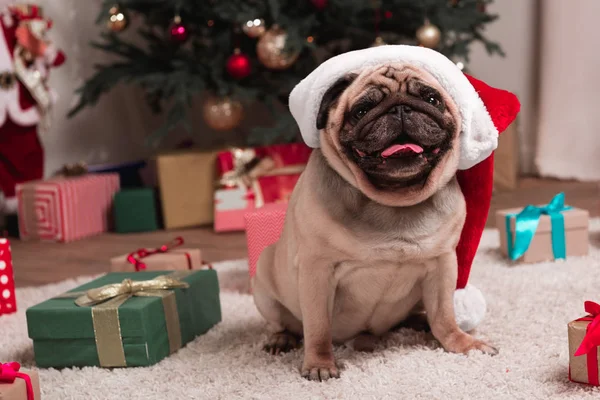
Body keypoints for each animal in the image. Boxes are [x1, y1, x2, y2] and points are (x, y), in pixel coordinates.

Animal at [252, 62, 496, 382]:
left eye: (432, 99)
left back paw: (420, 322)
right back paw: (280, 339)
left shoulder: (443, 265)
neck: (395, 202)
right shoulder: (317, 270)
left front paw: (462, 344)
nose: (400, 108)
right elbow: (317, 327)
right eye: (361, 110)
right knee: (283, 323)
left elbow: (445, 316)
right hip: (264, 279)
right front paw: (319, 363)